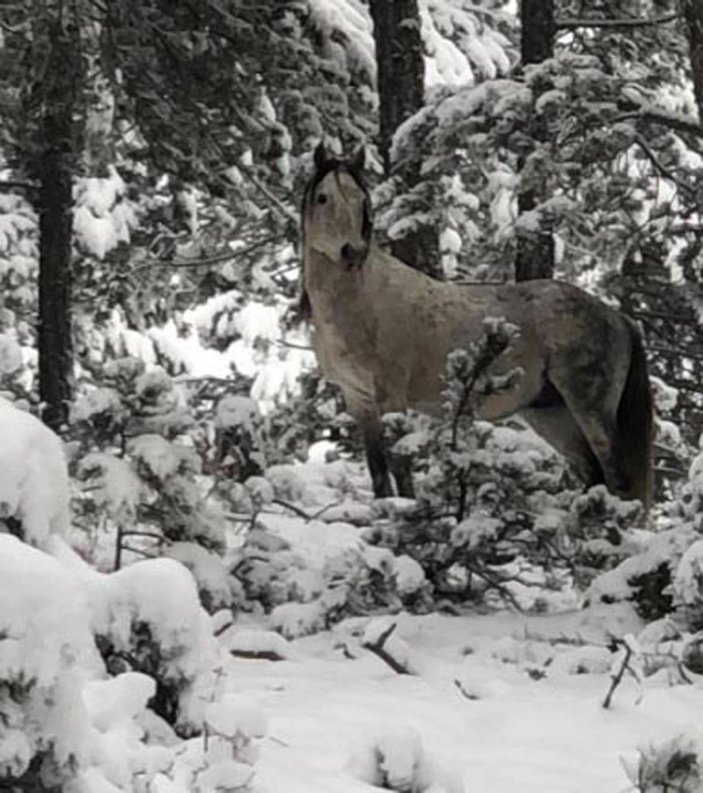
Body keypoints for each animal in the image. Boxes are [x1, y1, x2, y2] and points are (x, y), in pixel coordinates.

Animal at [296, 144, 656, 508]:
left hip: (590, 407)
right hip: (553, 415)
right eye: (323, 198)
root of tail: (617, 318)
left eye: (361, 201)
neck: (362, 301)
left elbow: (401, 468)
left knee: (617, 477)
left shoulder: (391, 399)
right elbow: (379, 474)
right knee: (594, 473)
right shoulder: (360, 400)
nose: (352, 252)